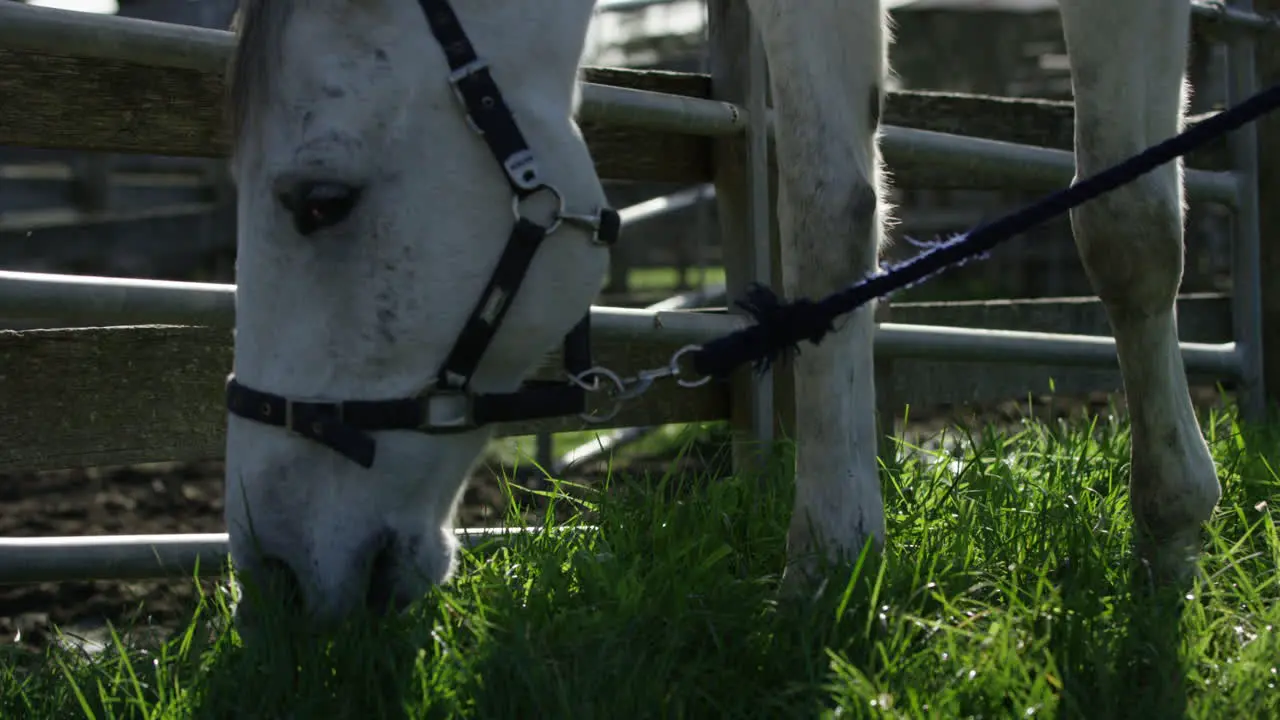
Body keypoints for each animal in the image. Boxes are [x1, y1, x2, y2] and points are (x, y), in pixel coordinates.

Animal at [222, 0, 1218, 620]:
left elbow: (1127, 226)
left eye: (321, 203)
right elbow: (828, 214)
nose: (269, 572)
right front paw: (832, 565)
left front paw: (1171, 526)